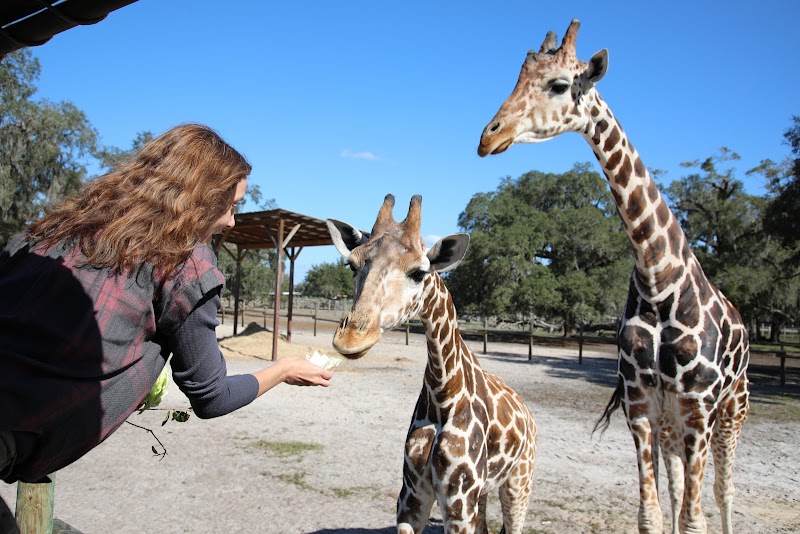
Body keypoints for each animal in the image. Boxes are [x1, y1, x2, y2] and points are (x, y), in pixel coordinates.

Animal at [326, 194, 537, 534]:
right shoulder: (411, 498)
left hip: (519, 482)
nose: (351, 339)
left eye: (419, 272)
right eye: (352, 264)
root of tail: (528, 414)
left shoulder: (458, 505)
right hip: (483, 492)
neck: (443, 396)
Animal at [476, 19, 750, 534]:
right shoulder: (642, 406)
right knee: (680, 485)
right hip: (672, 423)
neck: (658, 277)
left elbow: (695, 518)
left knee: (723, 491)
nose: (488, 136)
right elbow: (652, 514)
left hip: (731, 410)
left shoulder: (698, 408)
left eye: (559, 84)